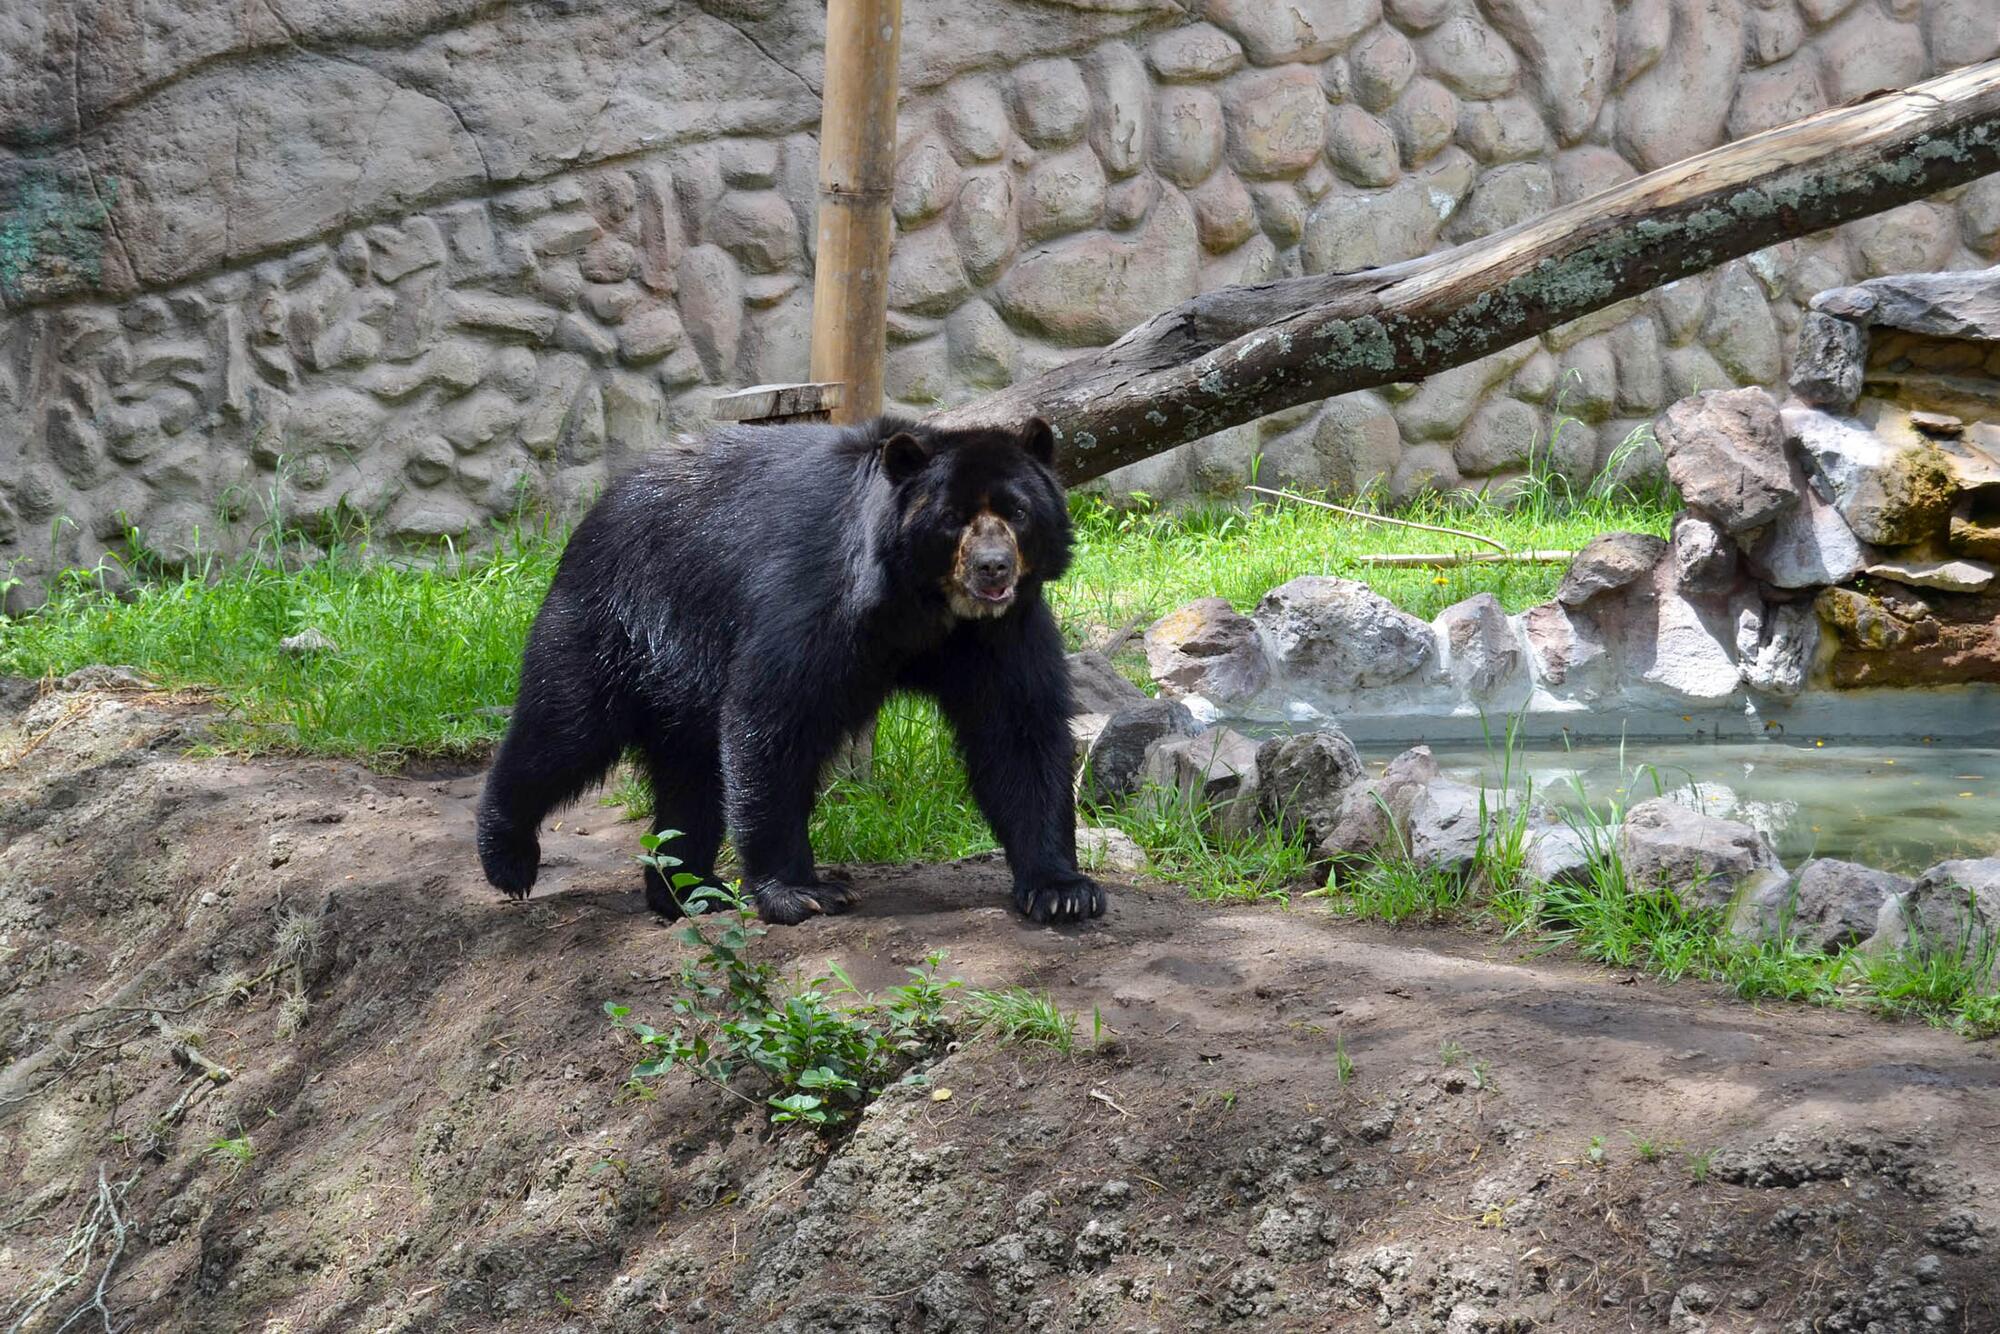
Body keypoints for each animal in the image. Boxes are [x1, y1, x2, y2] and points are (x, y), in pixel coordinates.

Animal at [474, 418, 1104, 928]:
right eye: (952, 519)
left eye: (1018, 512)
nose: (992, 568)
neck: (925, 605)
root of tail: (599, 506)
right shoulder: (817, 595)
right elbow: (774, 716)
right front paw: (801, 893)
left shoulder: (1002, 632)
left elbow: (1019, 731)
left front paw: (1063, 891)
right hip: (616, 617)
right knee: (565, 727)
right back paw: (509, 858)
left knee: (690, 776)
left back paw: (692, 890)